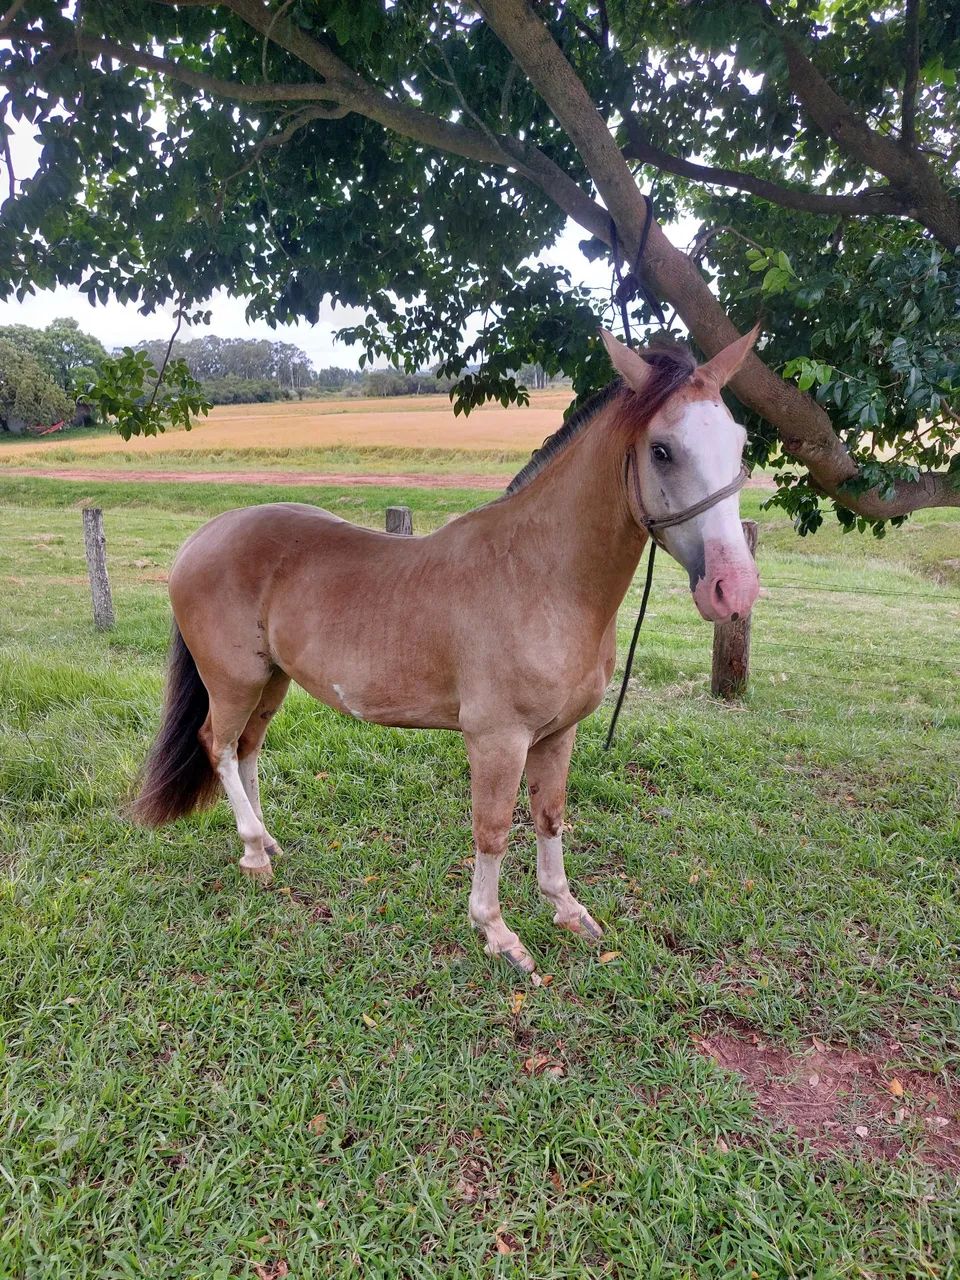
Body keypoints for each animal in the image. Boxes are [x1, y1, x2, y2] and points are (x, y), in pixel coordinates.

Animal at [133, 327, 761, 982]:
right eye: (662, 450)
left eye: (740, 443)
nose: (733, 588)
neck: (539, 577)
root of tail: (202, 538)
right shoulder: (497, 739)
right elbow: (492, 832)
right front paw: (497, 932)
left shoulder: (558, 733)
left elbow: (550, 816)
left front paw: (567, 910)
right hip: (234, 680)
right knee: (220, 747)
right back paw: (255, 852)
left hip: (272, 680)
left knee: (248, 749)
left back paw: (265, 839)